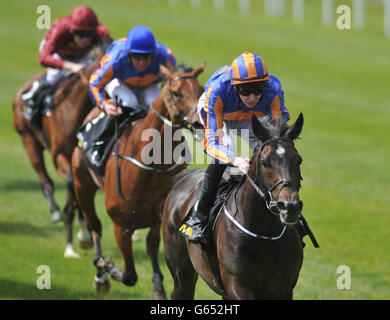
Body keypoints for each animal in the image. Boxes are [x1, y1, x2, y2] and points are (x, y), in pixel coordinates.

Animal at [12, 41, 110, 258]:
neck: (76, 108)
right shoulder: (60, 156)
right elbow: (72, 186)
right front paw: (79, 238)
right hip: (29, 140)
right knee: (46, 180)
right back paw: (56, 212)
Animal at [71, 63, 204, 298]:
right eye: (176, 92)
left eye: (201, 90)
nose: (198, 123)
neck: (152, 164)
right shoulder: (120, 224)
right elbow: (129, 275)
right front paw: (108, 267)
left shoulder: (158, 217)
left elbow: (151, 248)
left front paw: (158, 287)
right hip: (82, 186)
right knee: (94, 225)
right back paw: (100, 273)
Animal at [161, 113, 304, 300]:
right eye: (264, 162)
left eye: (298, 160)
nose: (289, 206)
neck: (264, 235)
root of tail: (182, 178)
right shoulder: (237, 286)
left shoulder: (284, 290)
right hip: (182, 276)